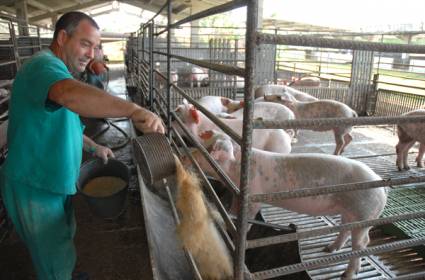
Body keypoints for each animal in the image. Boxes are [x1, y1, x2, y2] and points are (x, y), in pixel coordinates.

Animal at [185, 131, 384, 280]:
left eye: (210, 149)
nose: (186, 155)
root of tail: (381, 187)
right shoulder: (236, 194)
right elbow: (232, 211)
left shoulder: (254, 198)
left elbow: (248, 220)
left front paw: (237, 235)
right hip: (348, 212)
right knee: (345, 231)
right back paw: (328, 249)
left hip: (363, 214)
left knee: (362, 242)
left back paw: (347, 274)